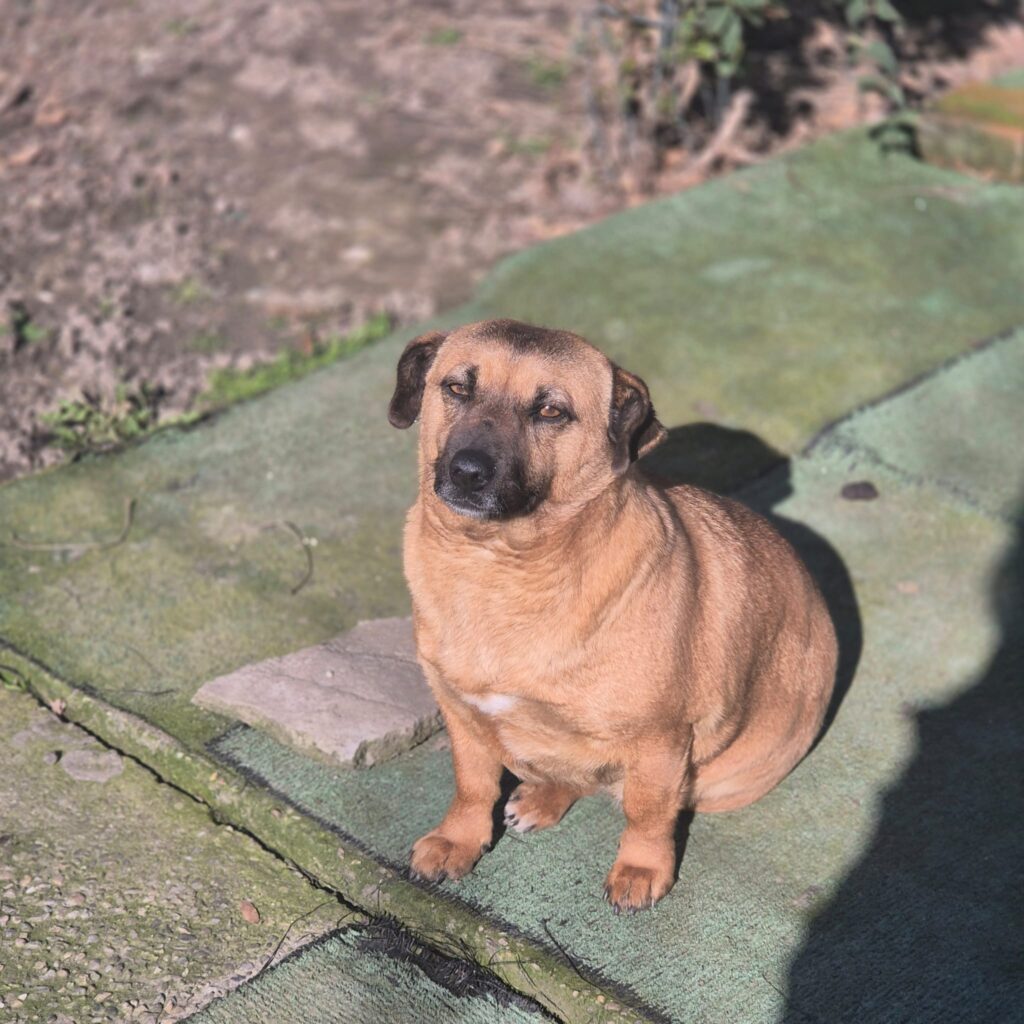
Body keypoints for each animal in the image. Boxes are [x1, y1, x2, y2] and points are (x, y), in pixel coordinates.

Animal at [388, 318, 837, 912]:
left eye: (551, 411)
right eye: (456, 387)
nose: (466, 472)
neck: (497, 566)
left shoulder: (660, 741)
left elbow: (646, 811)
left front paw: (641, 869)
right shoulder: (462, 714)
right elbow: (472, 784)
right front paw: (457, 840)